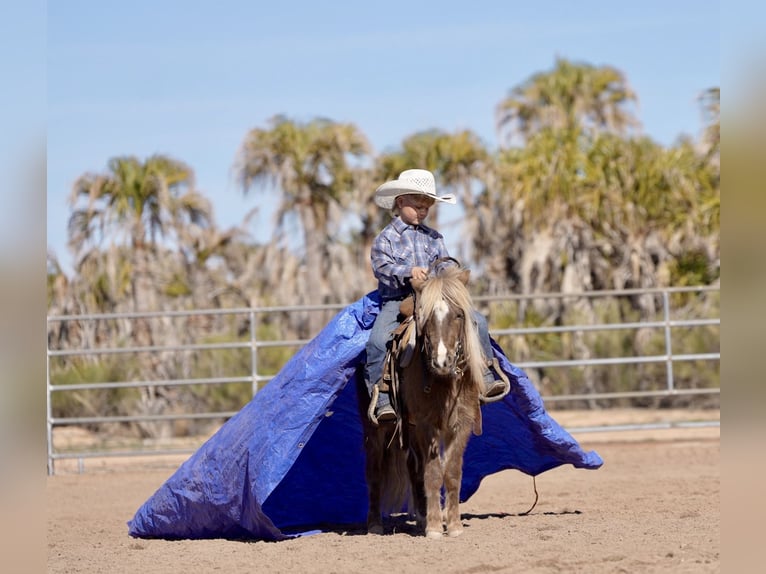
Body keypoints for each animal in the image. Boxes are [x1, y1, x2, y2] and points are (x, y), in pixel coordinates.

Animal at [359, 259, 486, 538]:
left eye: (458, 315)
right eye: (425, 318)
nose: (442, 362)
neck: (444, 381)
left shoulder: (461, 424)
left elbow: (451, 473)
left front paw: (454, 526)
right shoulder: (427, 425)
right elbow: (434, 473)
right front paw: (436, 528)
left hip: (410, 429)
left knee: (413, 468)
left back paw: (420, 516)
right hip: (375, 429)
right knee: (375, 472)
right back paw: (375, 524)